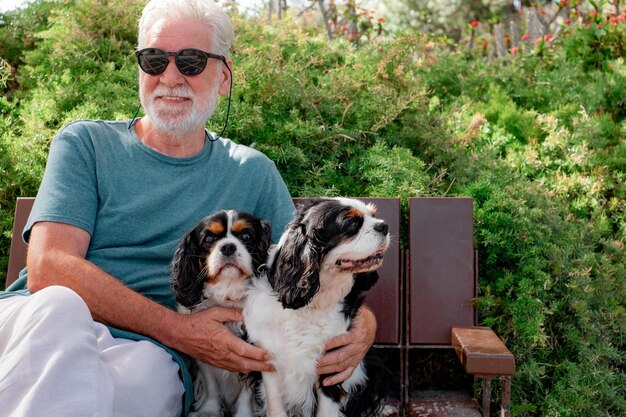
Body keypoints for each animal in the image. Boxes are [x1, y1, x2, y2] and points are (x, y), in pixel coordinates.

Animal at [171, 210, 270, 416]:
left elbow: (246, 391)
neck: (228, 292)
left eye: (246, 236)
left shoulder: (252, 353)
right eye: (209, 239)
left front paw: (243, 414)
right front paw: (208, 410)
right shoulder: (204, 347)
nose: (228, 247)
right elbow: (211, 386)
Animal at [241, 197, 388, 416]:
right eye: (351, 223)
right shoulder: (268, 361)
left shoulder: (333, 363)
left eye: (373, 215)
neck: (310, 305)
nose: (384, 226)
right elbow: (275, 406)